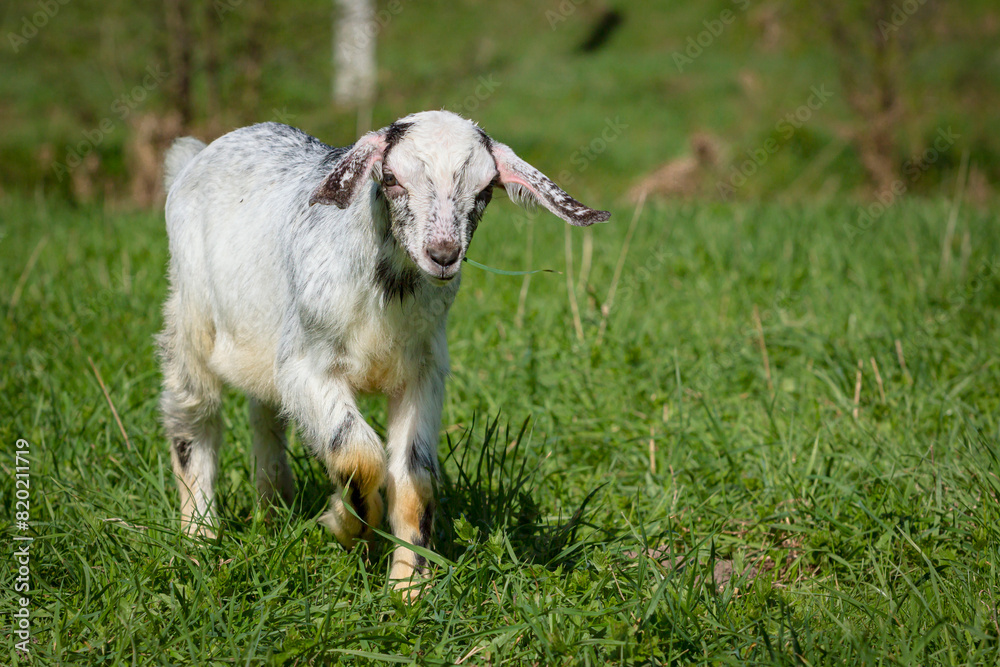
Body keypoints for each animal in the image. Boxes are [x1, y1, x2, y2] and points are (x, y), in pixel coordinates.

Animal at [159, 110, 609, 594]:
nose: (443, 253)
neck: (387, 296)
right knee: (193, 417)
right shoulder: (306, 365)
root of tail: (195, 156)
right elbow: (356, 453)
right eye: (391, 178)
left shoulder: (423, 372)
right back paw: (200, 536)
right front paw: (349, 525)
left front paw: (408, 585)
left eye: (486, 189)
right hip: (190, 315)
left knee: (266, 417)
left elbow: (415, 478)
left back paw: (274, 507)